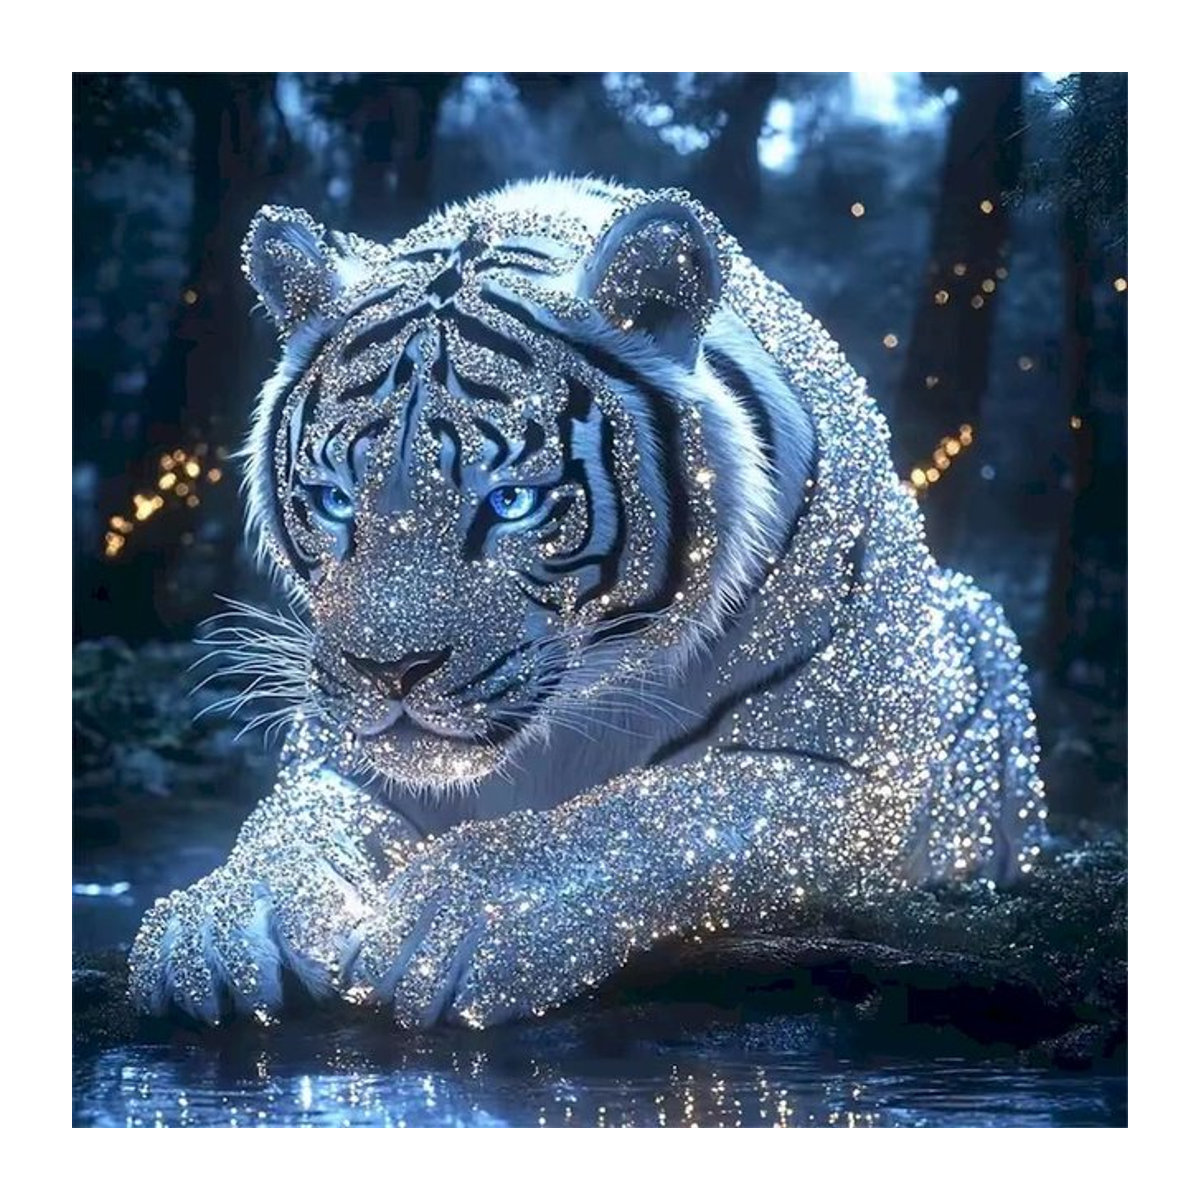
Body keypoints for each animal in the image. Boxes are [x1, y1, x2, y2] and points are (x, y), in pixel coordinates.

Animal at [129, 176, 1048, 1030]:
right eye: (333, 499)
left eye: (510, 503)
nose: (388, 673)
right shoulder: (338, 756)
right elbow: (290, 828)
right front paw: (213, 926)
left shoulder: (857, 773)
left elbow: (653, 815)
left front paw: (456, 920)